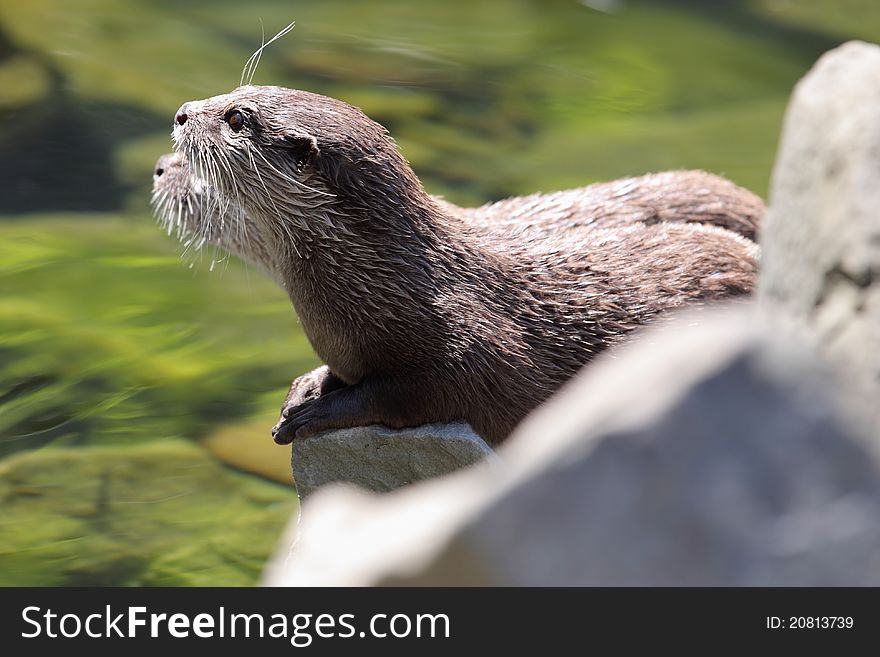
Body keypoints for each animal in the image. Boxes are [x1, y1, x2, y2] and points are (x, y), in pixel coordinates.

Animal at [160, 84, 764, 446]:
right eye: (236, 93)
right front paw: (307, 387)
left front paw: (317, 412)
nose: (182, 114)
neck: (389, 285)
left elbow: (420, 391)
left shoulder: (468, 347)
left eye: (237, 118)